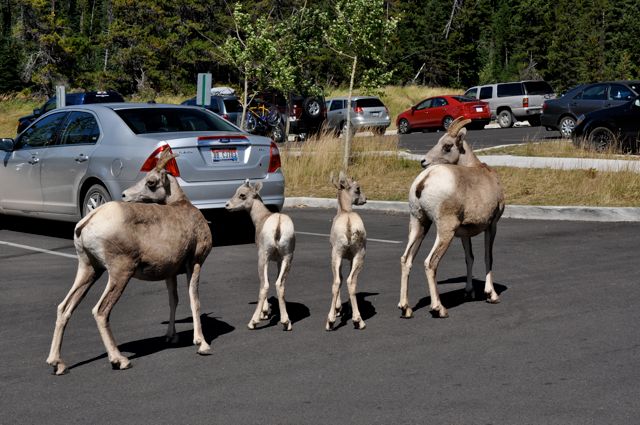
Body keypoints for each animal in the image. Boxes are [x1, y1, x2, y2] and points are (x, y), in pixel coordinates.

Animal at [46, 149, 215, 374]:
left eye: (150, 182)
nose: (125, 195)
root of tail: (88, 220)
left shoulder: (170, 273)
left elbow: (174, 300)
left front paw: (171, 337)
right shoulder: (194, 263)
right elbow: (194, 300)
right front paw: (202, 344)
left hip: (89, 269)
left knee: (64, 308)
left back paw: (58, 363)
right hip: (120, 272)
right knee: (100, 311)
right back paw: (120, 360)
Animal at [225, 179, 296, 332]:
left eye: (242, 195)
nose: (227, 205)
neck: (262, 218)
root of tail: (278, 223)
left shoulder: (265, 259)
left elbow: (265, 282)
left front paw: (263, 313)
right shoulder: (278, 261)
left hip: (263, 258)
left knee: (264, 285)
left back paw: (253, 322)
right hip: (287, 258)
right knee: (280, 285)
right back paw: (286, 322)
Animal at [328, 171, 368, 330]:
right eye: (358, 188)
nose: (365, 199)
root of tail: (349, 226)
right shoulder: (349, 258)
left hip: (338, 255)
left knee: (339, 281)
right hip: (357, 255)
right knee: (347, 281)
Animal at [400, 117, 504, 318]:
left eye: (447, 145)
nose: (423, 161)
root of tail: (423, 181)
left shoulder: (464, 233)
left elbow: (469, 257)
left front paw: (469, 292)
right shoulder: (492, 225)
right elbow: (488, 256)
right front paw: (492, 295)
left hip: (419, 223)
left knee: (406, 259)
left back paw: (405, 308)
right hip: (445, 230)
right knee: (430, 262)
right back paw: (439, 309)